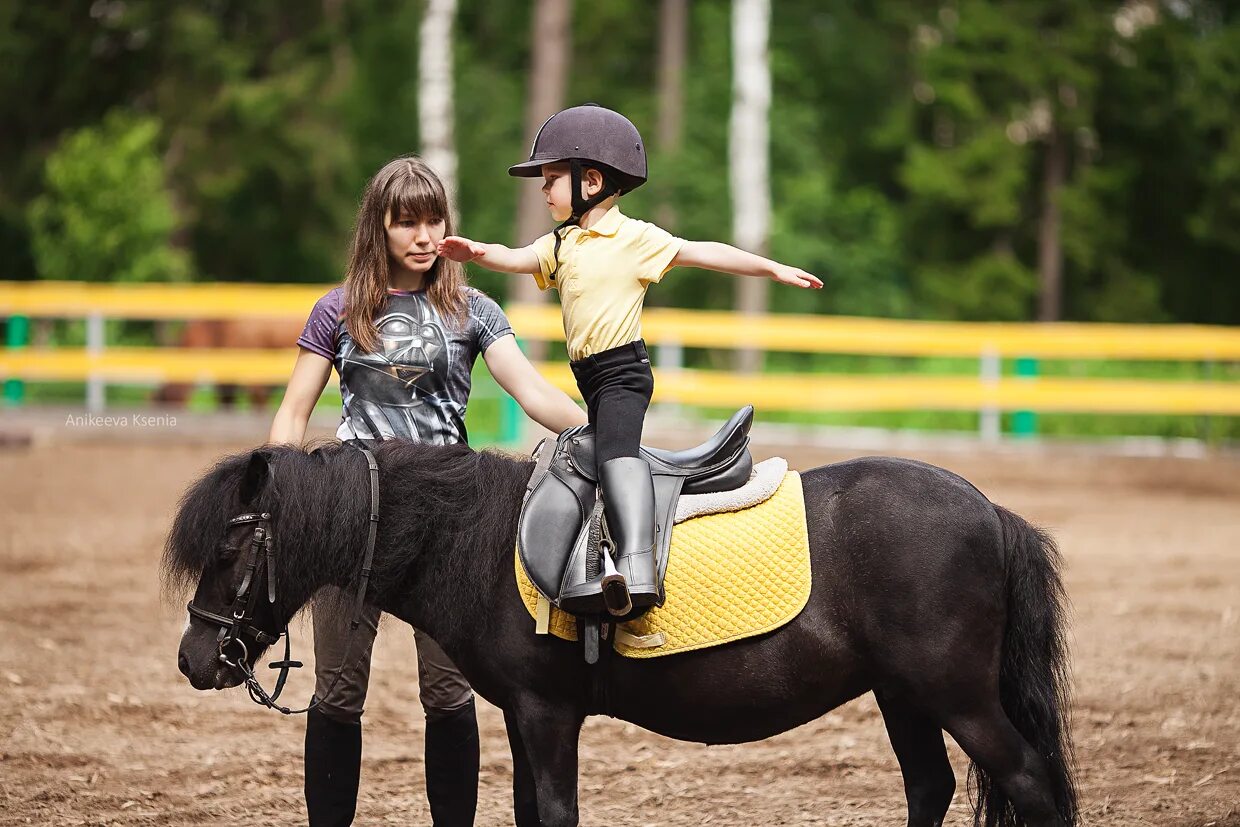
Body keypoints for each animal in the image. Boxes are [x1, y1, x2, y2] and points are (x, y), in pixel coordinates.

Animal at [162, 438, 1076, 827]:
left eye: (231, 548)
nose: (194, 657)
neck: (482, 538)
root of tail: (990, 510)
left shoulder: (546, 713)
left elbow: (557, 811)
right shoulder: (521, 716)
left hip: (957, 696)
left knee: (1033, 784)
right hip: (903, 694)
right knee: (931, 786)